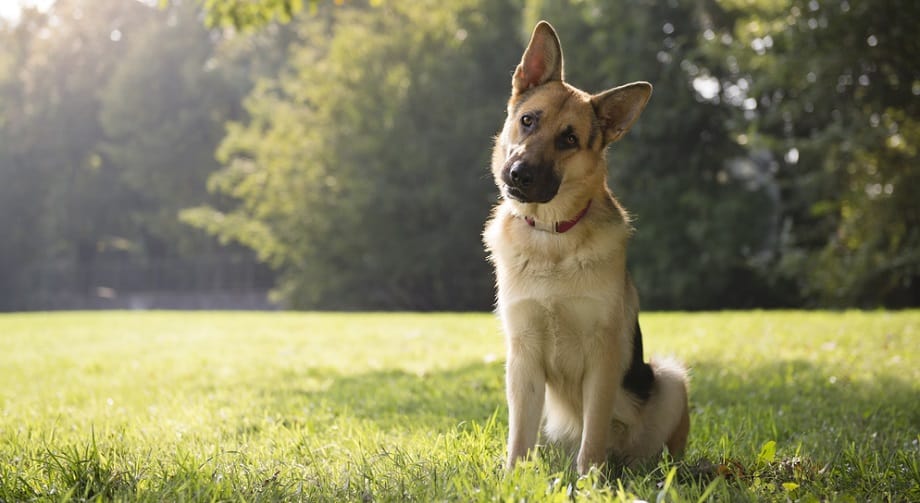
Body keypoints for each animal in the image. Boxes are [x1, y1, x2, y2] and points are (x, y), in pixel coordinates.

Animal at [482, 20, 688, 476]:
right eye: (528, 121)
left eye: (569, 139)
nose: (518, 174)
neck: (551, 236)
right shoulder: (522, 358)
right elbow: (518, 436)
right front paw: (512, 478)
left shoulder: (603, 358)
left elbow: (593, 432)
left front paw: (591, 480)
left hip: (670, 379)